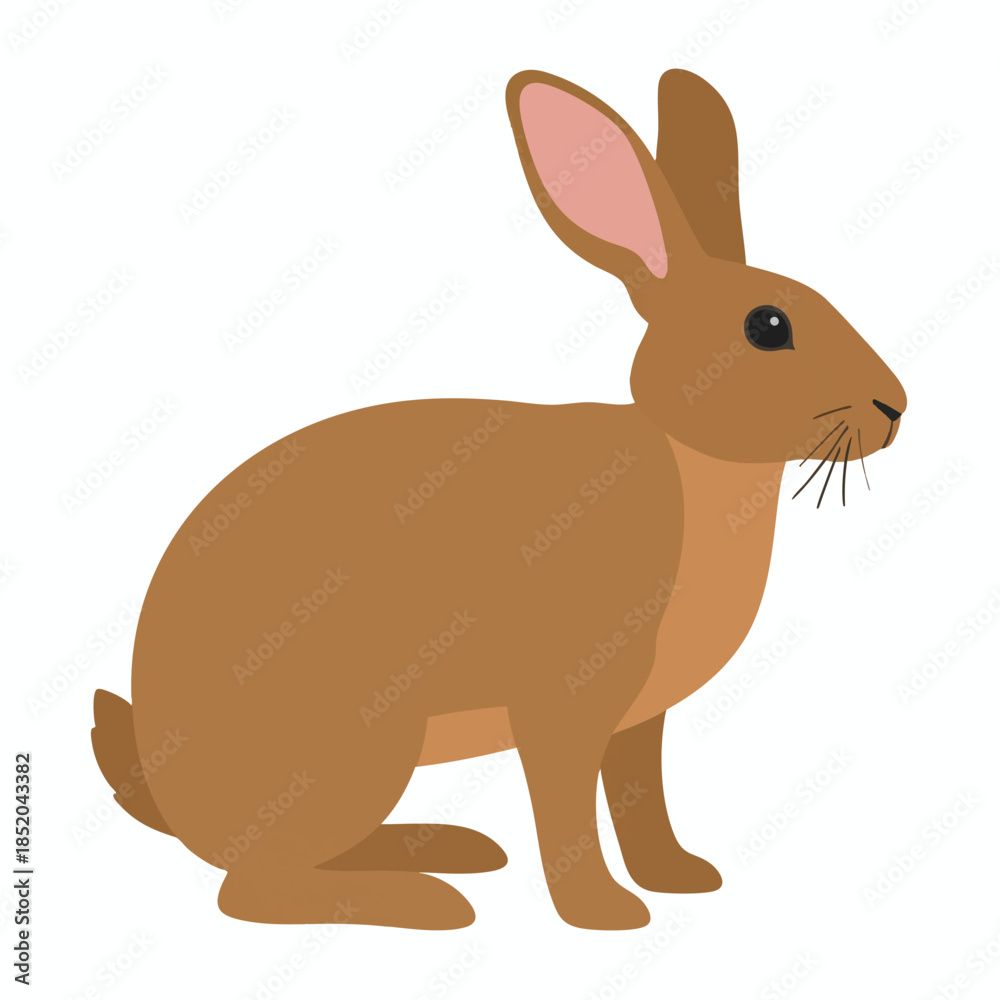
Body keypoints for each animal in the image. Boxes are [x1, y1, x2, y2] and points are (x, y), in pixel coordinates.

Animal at [92, 68, 906, 931]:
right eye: (768, 325)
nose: (896, 407)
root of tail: (168, 790)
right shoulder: (562, 707)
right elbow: (567, 812)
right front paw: (603, 913)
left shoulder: (637, 722)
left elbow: (640, 798)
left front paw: (679, 877)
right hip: (365, 742)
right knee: (251, 889)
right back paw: (427, 901)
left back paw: (446, 848)